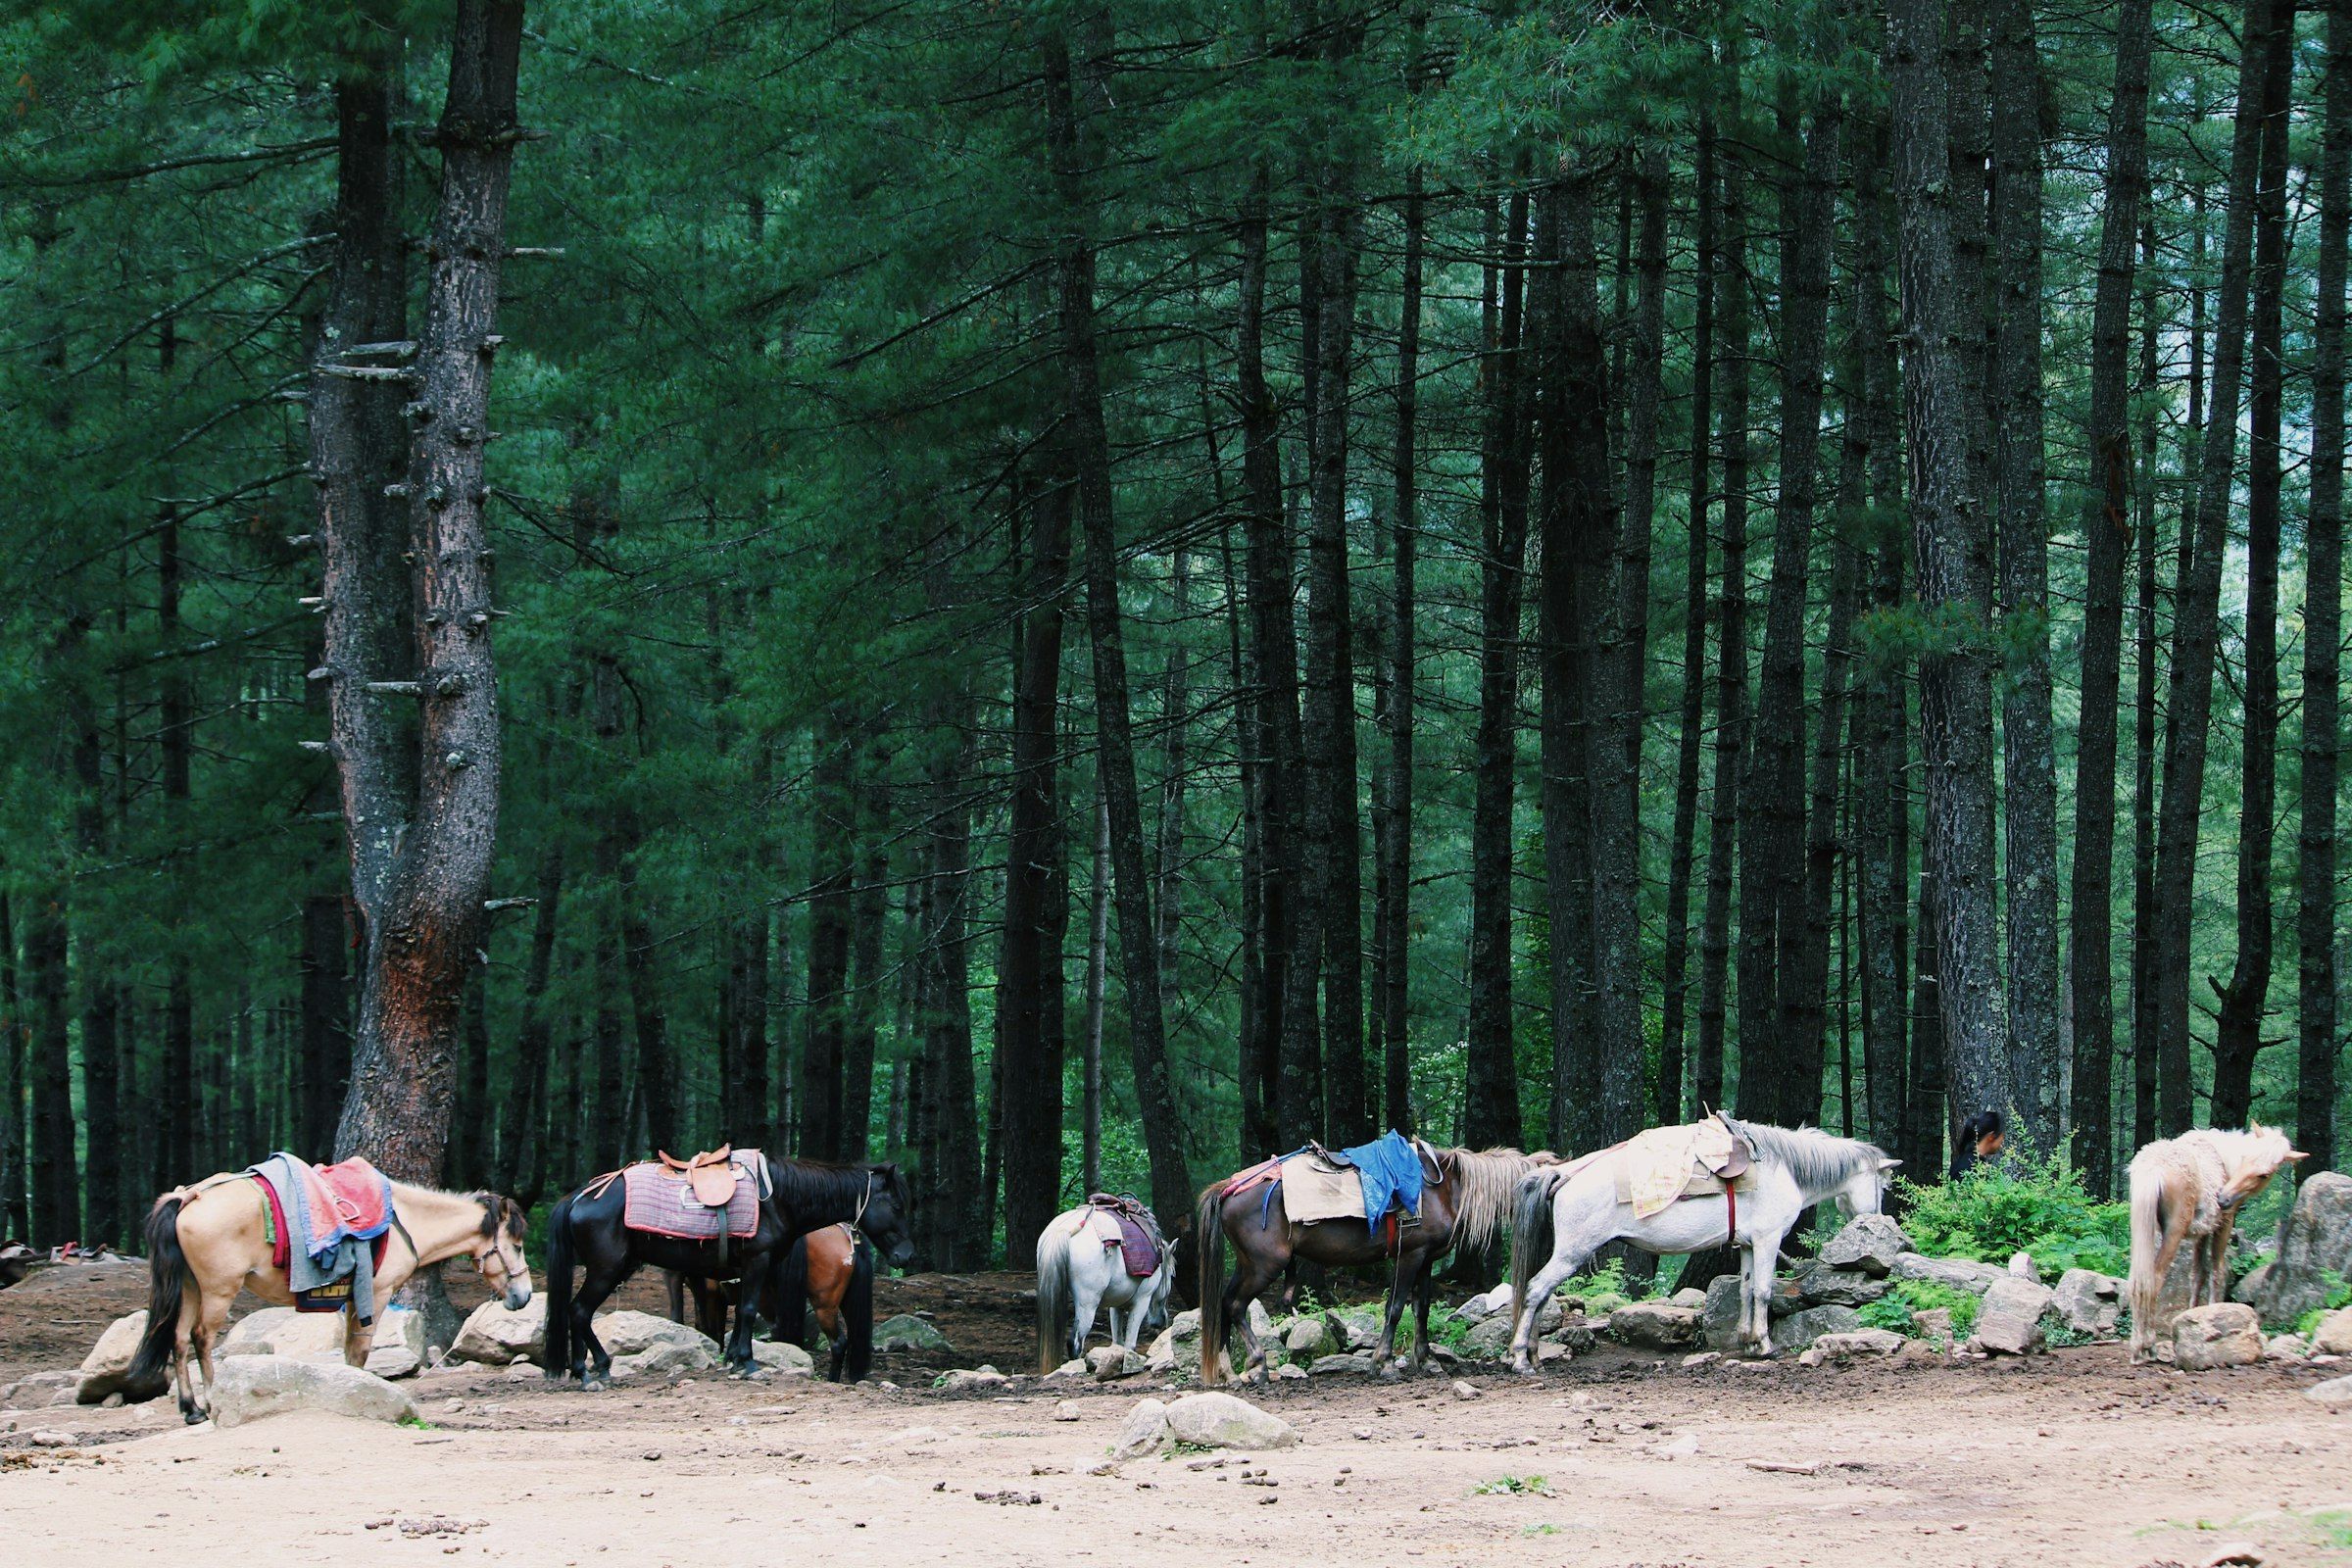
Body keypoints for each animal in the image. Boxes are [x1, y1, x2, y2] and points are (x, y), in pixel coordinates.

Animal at [126, 1175, 532, 1424]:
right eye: (516, 1245)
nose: (524, 1296)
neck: (406, 1222)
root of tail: (187, 1197)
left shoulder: (355, 1299)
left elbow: (352, 1352)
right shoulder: (377, 1294)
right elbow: (362, 1350)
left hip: (192, 1288)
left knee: (179, 1340)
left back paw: (191, 1408)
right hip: (218, 1291)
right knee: (202, 1339)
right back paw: (210, 1400)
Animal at [1035, 1202, 1175, 1373]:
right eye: (1171, 1275)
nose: (1161, 1320)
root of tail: (1064, 1230)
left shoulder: (1116, 1305)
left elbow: (1117, 1342)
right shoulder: (1142, 1301)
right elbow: (1129, 1344)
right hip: (1088, 1304)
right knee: (1075, 1341)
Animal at [1196, 1143, 1545, 1384]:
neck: (1444, 1188)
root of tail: (1228, 1189)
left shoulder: (1426, 1260)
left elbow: (1421, 1309)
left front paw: (1426, 1360)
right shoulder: (1410, 1256)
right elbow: (1395, 1308)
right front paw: (1384, 1363)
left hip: (1247, 1265)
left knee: (1224, 1303)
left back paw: (1229, 1373)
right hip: (1264, 1266)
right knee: (1235, 1305)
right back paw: (1257, 1365)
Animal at [1507, 1119, 1898, 1369]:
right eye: (1883, 1184)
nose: (1877, 1221)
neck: (1782, 1169)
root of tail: (1564, 1173)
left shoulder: (1748, 1246)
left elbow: (1745, 1290)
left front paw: (1746, 1340)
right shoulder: (1768, 1241)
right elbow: (1763, 1292)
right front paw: (1765, 1344)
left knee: (1541, 1295)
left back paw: (1536, 1357)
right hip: (1571, 1253)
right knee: (1536, 1290)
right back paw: (1521, 1358)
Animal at [2126, 1124, 2306, 1362]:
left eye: (2264, 1174)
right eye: (2245, 1157)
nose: (2223, 1198)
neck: (2226, 1162)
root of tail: (2152, 1169)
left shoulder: (2201, 1233)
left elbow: (2197, 1275)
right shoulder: (2224, 1223)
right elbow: (2217, 1271)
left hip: (2145, 1231)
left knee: (2137, 1282)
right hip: (2173, 1231)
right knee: (2152, 1281)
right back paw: (2147, 1346)